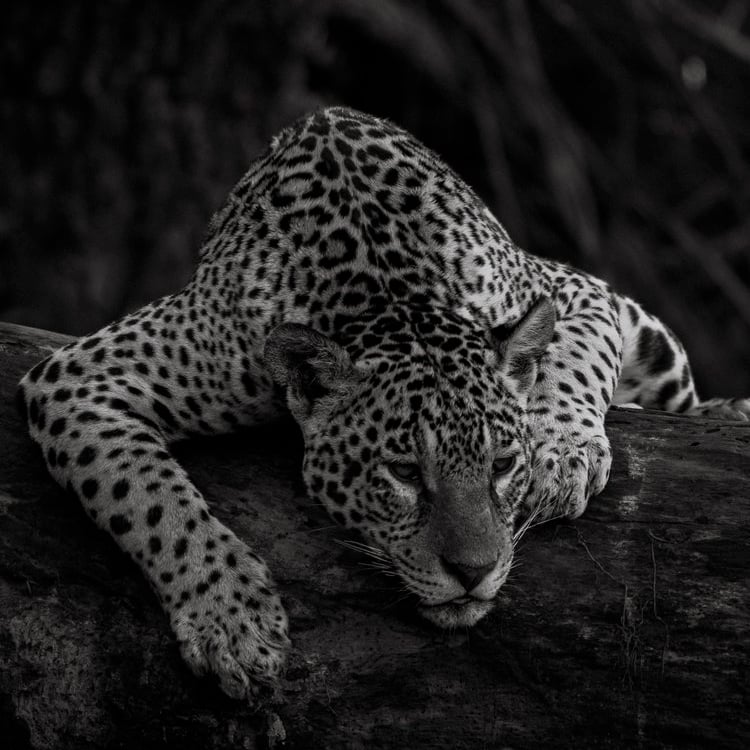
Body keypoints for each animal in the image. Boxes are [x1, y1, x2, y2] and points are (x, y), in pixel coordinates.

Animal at [17, 107, 750, 701]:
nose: (474, 572)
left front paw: (562, 454)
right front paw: (232, 620)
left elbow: (575, 360)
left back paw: (727, 413)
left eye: (502, 465)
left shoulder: (575, 289)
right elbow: (149, 500)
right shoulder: (78, 376)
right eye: (402, 473)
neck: (389, 293)